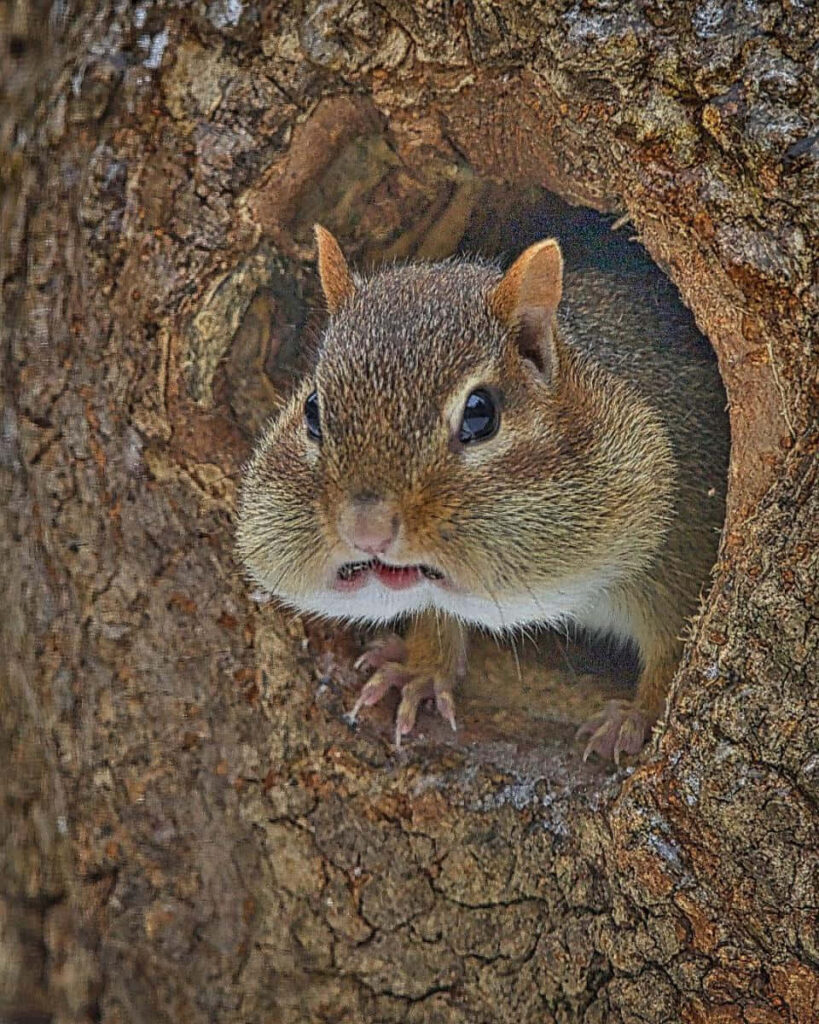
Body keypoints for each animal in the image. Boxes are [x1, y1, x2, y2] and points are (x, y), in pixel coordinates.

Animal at [237, 224, 729, 762]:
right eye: (312, 410)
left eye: (479, 413)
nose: (366, 531)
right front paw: (420, 670)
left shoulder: (685, 548)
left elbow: (675, 655)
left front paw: (635, 718)